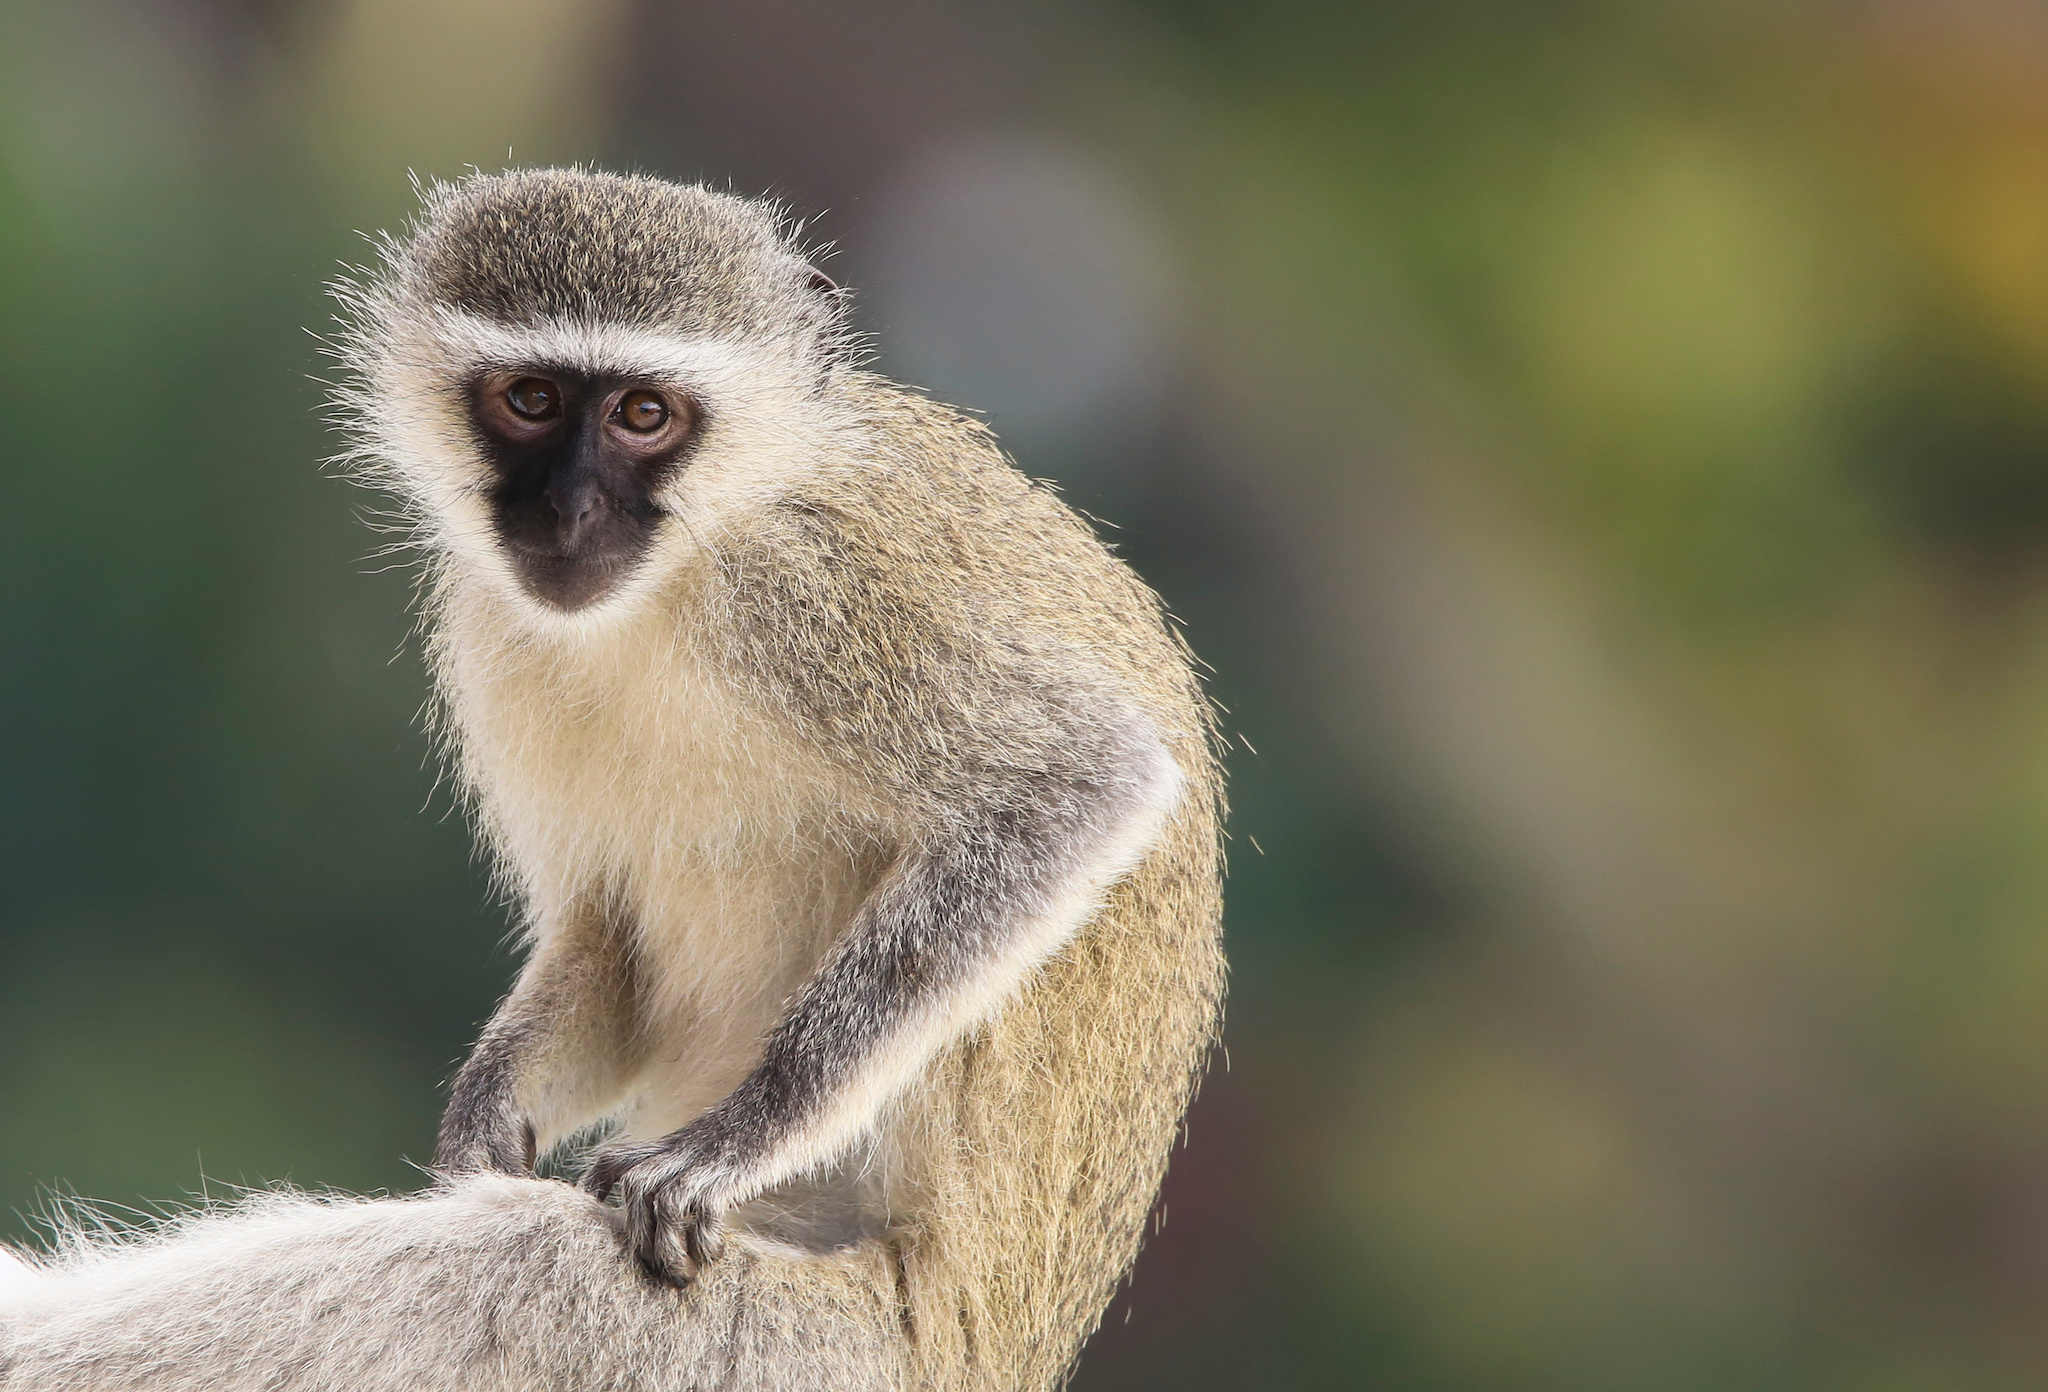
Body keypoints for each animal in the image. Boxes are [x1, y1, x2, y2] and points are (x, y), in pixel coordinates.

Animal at [0, 165, 1212, 1392]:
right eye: (531, 399)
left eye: (643, 415)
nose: (569, 509)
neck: (683, 567)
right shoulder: (488, 623)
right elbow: (610, 940)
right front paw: (486, 1115)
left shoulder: (817, 594)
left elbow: (1080, 784)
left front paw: (733, 1141)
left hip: (818, 1350)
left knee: (506, 1269)